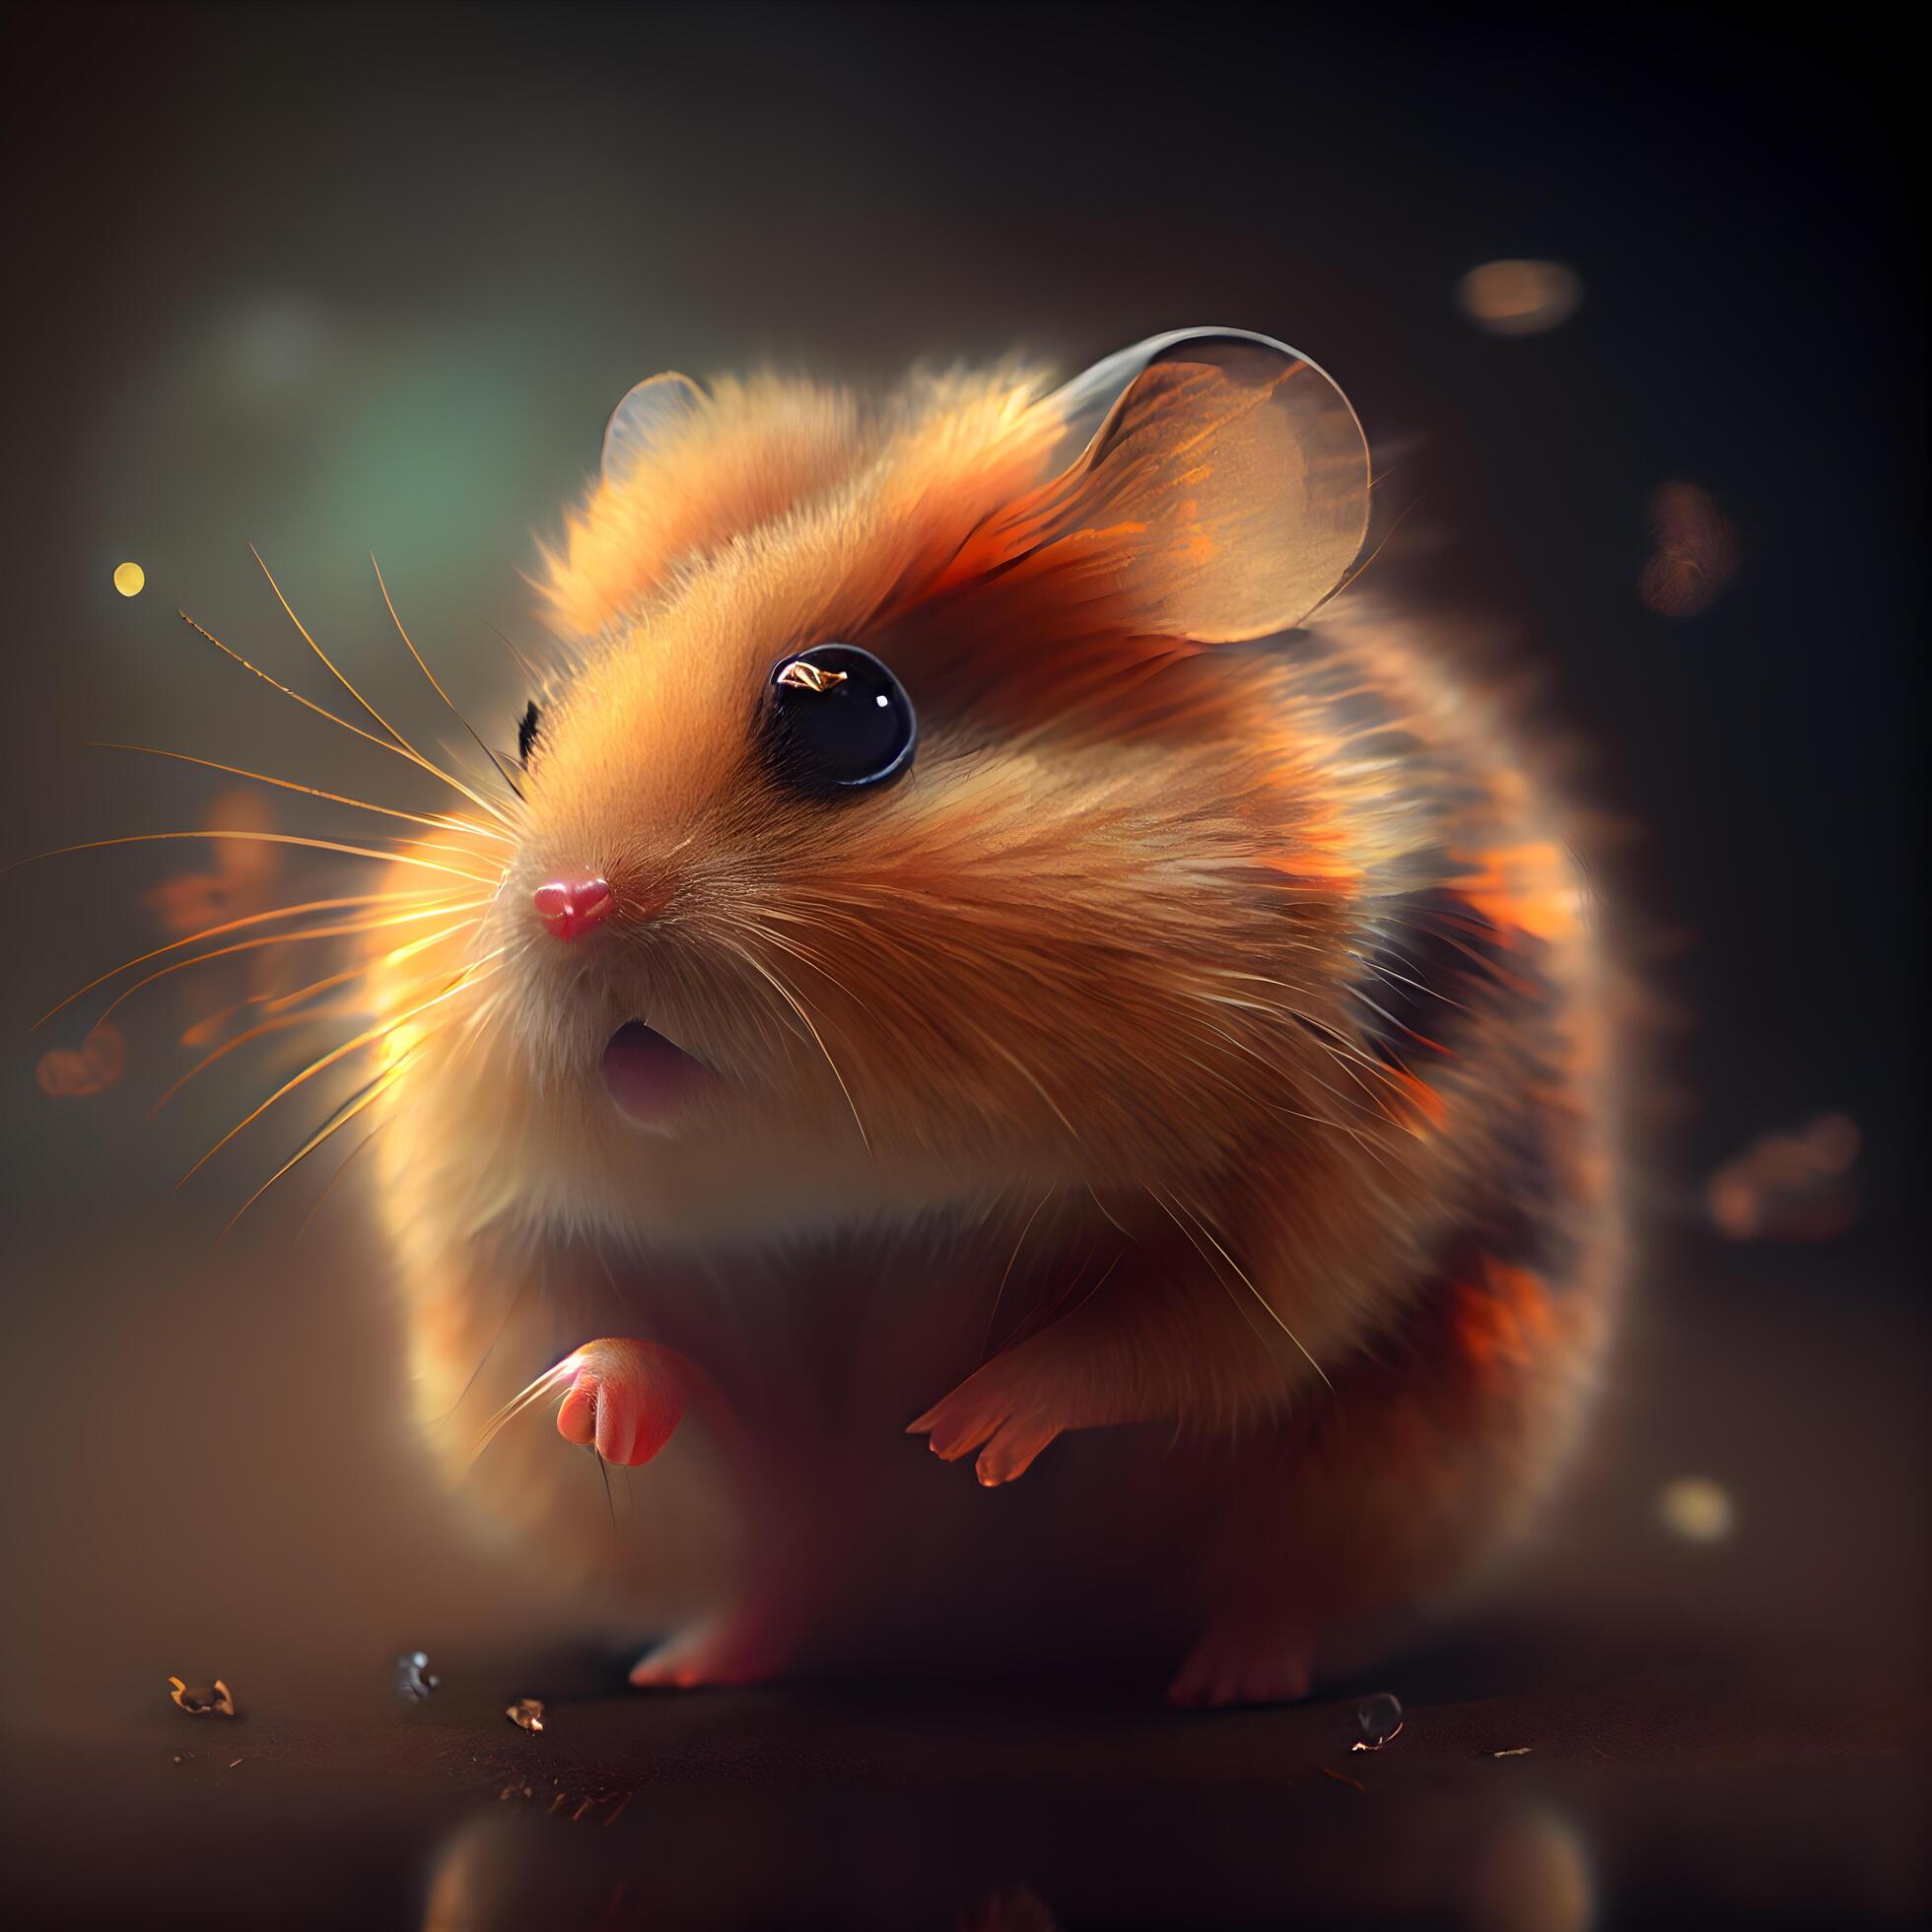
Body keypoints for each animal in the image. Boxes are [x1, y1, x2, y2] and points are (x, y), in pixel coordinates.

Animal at [343, 329, 1618, 1702]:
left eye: (845, 710)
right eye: (530, 727)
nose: (567, 904)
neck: (859, 1191)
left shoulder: (1333, 1194)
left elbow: (1165, 1338)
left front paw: (964, 1432)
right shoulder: (502, 1238)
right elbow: (599, 1334)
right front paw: (594, 1395)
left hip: (1405, 1458)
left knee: (1291, 1581)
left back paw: (1224, 1677)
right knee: (774, 1569)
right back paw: (691, 1664)